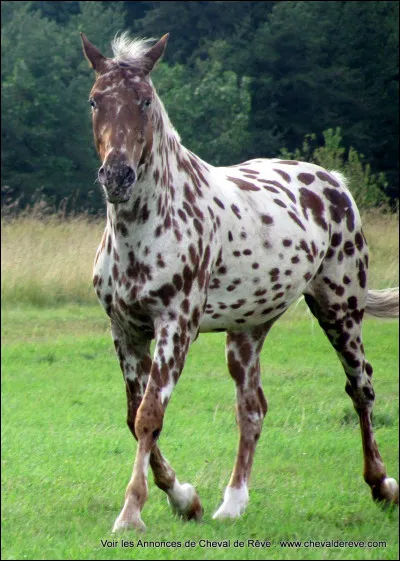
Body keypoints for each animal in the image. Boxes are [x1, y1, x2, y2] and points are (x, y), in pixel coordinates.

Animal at [79, 32, 398, 532]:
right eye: (95, 100)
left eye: (145, 100)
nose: (118, 176)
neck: (144, 229)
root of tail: (334, 182)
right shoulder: (125, 331)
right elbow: (135, 417)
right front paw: (184, 498)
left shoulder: (176, 326)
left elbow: (150, 415)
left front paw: (132, 512)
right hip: (248, 331)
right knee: (252, 409)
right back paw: (231, 503)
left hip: (340, 308)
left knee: (360, 388)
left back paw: (381, 485)